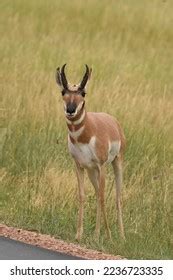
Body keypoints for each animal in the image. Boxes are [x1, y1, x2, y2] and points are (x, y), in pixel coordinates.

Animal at [56, 64, 125, 241]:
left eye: (83, 93)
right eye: (63, 92)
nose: (71, 110)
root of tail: (113, 120)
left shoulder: (102, 166)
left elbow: (102, 197)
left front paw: (106, 235)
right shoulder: (79, 166)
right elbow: (82, 195)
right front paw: (79, 234)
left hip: (116, 163)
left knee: (117, 197)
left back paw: (120, 236)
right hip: (91, 171)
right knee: (97, 192)